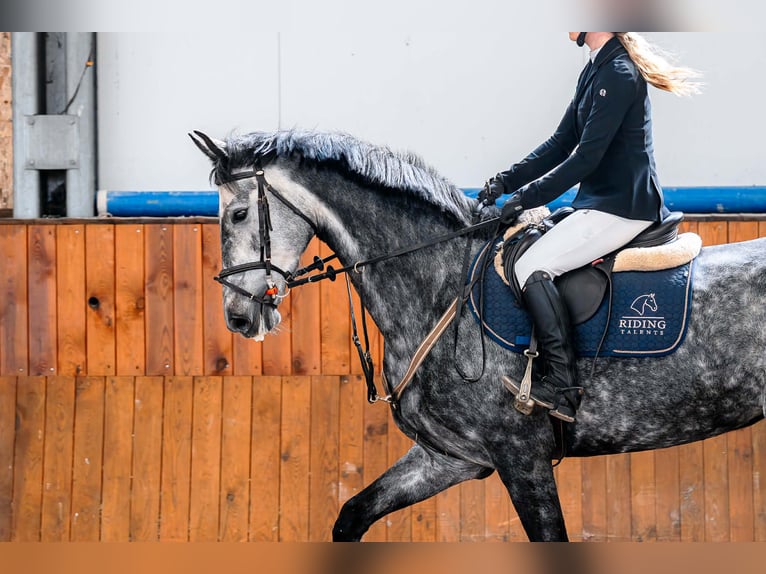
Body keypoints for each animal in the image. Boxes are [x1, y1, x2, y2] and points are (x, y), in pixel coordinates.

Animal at [190, 128, 766, 542]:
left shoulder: (521, 457)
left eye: (238, 213)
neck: (441, 284)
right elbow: (351, 516)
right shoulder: (451, 457)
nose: (238, 318)